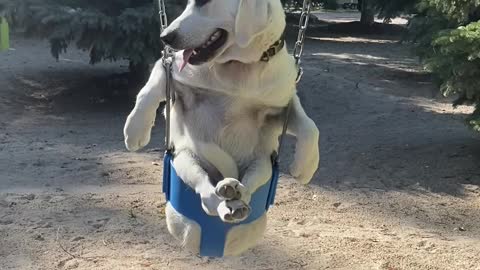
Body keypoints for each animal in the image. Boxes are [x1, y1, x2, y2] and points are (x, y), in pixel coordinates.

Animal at [124, 0, 318, 258]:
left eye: (203, 2)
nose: (166, 37)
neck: (236, 69)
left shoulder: (282, 102)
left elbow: (310, 126)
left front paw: (304, 169)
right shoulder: (172, 71)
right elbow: (149, 90)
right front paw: (135, 131)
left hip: (263, 164)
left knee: (248, 187)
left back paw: (234, 196)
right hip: (184, 159)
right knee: (207, 196)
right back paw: (225, 199)